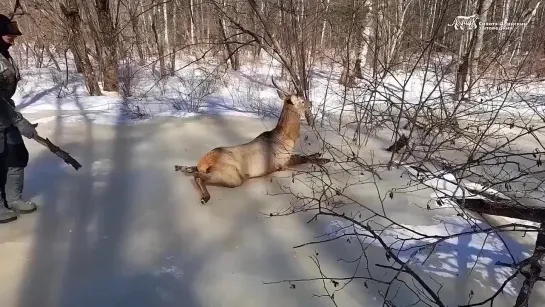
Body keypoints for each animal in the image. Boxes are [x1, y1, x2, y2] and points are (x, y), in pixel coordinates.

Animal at [174, 79, 330, 205]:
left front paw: (319, 153)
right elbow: (303, 158)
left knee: (193, 170)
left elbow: (306, 156)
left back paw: (181, 167)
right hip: (232, 175)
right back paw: (205, 197)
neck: (288, 139)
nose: (311, 103)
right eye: (302, 100)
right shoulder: (281, 162)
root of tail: (205, 162)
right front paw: (325, 159)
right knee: (197, 176)